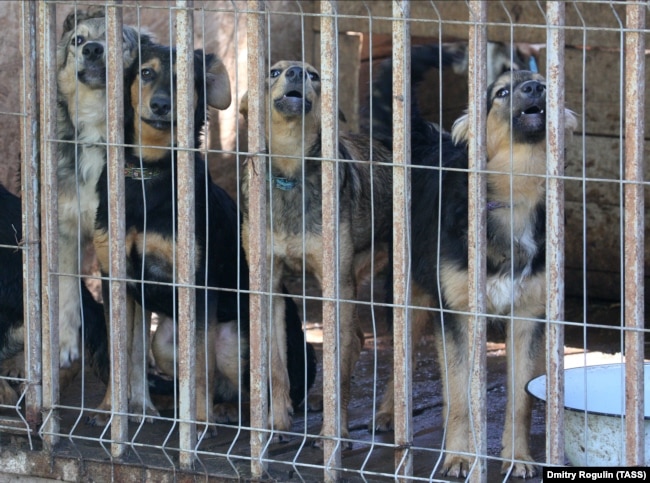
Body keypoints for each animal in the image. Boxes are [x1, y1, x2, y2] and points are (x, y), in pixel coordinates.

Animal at [55, 6, 152, 366]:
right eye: (77, 40)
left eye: (115, 38)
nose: (93, 49)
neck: (99, 133)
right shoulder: (65, 227)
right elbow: (67, 288)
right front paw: (65, 343)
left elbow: (131, 326)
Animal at [90, 44, 314, 432]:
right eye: (146, 73)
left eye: (184, 79)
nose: (161, 105)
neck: (149, 173)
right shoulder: (116, 278)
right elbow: (126, 354)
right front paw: (118, 408)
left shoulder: (196, 281)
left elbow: (199, 362)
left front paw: (196, 418)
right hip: (166, 339)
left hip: (240, 338)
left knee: (250, 388)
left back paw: (230, 413)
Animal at [238, 59, 390, 442]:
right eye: (274, 72)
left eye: (314, 75)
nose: (295, 71)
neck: (290, 174)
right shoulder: (270, 285)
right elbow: (276, 366)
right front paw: (277, 422)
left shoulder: (335, 285)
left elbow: (340, 364)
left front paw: (336, 433)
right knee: (357, 338)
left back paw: (388, 413)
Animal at [370, 44, 576, 476]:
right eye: (501, 93)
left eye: (545, 84)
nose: (535, 87)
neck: (514, 193)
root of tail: (431, 141)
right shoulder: (458, 315)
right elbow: (461, 398)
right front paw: (461, 456)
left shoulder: (528, 317)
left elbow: (520, 398)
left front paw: (517, 457)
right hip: (412, 297)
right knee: (401, 359)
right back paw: (390, 413)